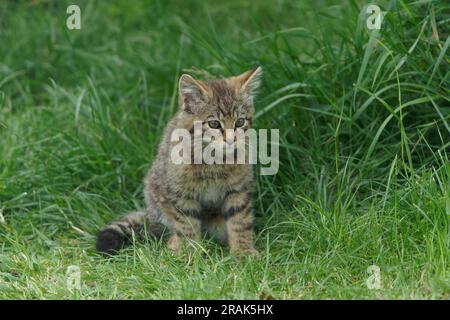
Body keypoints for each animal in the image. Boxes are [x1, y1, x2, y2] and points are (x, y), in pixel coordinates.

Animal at [96, 65, 262, 258]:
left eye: (240, 122)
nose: (231, 140)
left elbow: (240, 220)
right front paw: (189, 252)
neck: (214, 162)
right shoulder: (180, 194)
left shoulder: (239, 190)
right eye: (214, 124)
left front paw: (243, 252)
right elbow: (186, 224)